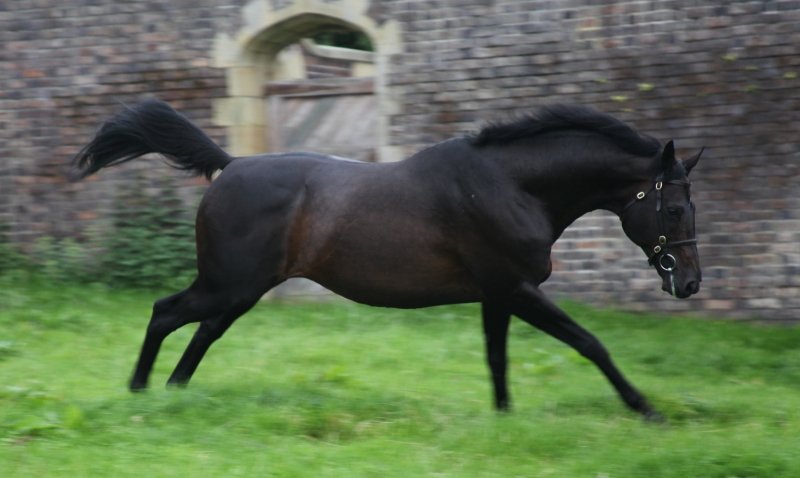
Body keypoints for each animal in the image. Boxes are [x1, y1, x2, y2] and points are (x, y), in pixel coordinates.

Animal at [72, 99, 703, 419]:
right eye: (674, 209)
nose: (691, 284)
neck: (510, 185)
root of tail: (229, 165)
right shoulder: (518, 289)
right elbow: (589, 342)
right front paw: (645, 408)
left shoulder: (497, 294)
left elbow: (497, 359)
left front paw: (503, 419)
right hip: (229, 284)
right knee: (165, 312)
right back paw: (139, 394)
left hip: (241, 290)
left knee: (201, 331)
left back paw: (172, 391)